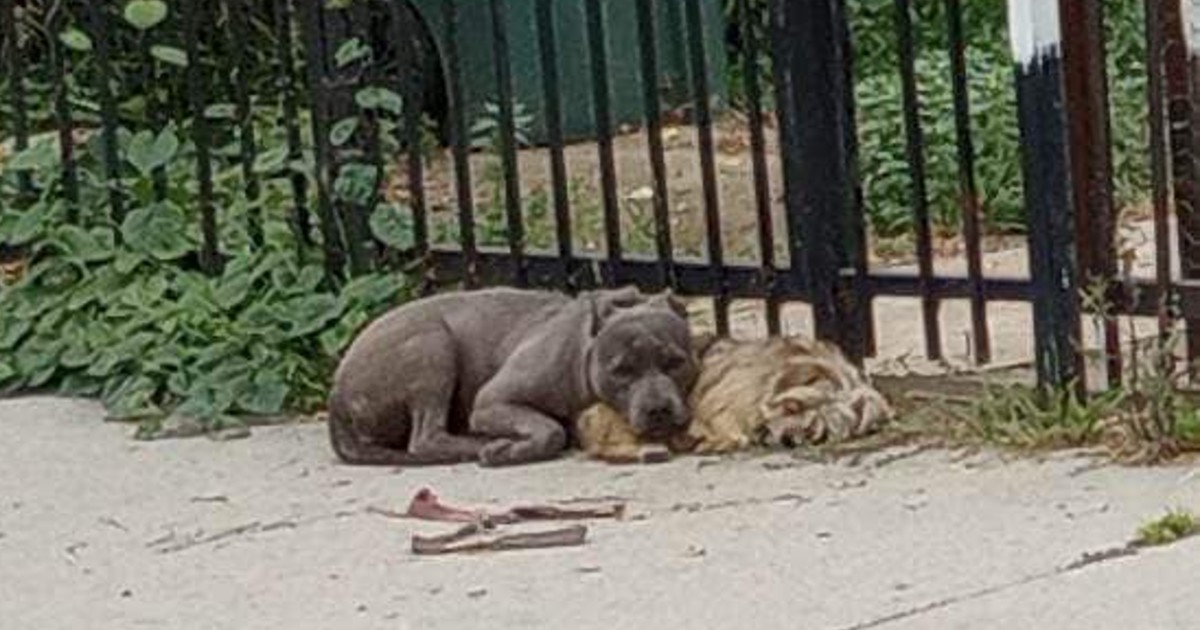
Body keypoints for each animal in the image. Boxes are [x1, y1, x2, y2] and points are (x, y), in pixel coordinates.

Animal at [328, 286, 700, 463]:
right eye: (622, 371)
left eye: (675, 362)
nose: (658, 410)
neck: (582, 352)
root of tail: (336, 394)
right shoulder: (492, 401)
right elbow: (550, 430)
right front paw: (512, 450)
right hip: (432, 346)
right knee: (425, 438)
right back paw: (482, 444)